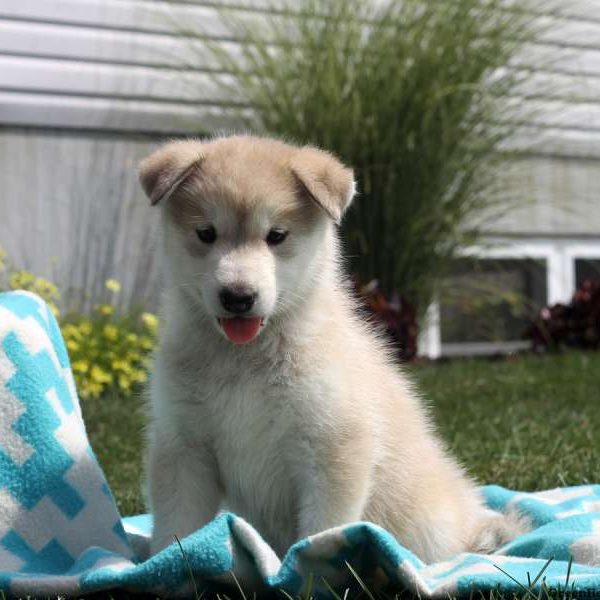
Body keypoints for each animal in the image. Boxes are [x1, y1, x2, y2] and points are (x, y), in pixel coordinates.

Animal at [138, 136, 524, 564]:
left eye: (276, 235)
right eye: (206, 233)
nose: (238, 297)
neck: (245, 357)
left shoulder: (331, 445)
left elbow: (323, 529)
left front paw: (309, 566)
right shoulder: (183, 444)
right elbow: (177, 523)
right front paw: (167, 565)